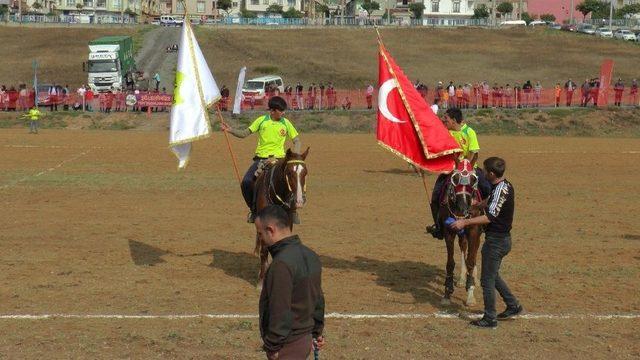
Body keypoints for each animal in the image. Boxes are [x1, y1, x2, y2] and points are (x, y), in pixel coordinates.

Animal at [254, 146, 308, 286]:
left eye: (305, 172)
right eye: (289, 172)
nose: (299, 201)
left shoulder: (287, 222)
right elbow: (264, 251)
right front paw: (261, 282)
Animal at [438, 158, 488, 306]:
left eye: (473, 179)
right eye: (455, 178)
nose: (463, 207)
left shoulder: (473, 230)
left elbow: (471, 260)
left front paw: (470, 294)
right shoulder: (449, 231)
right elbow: (450, 263)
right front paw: (447, 293)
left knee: (474, 251)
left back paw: (474, 279)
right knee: (463, 246)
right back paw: (461, 279)